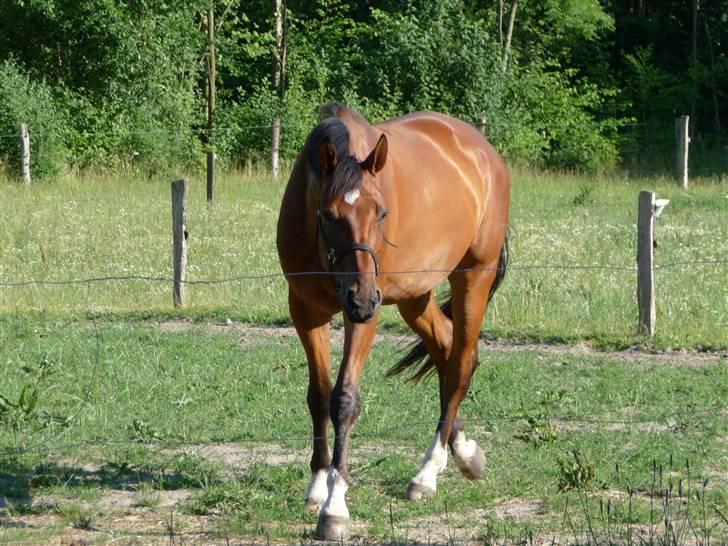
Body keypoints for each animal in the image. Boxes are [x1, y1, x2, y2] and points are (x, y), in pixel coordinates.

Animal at [276, 103, 510, 540]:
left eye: (381, 212)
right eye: (329, 214)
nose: (362, 297)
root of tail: (485, 151)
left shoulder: (364, 318)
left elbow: (344, 399)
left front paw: (335, 505)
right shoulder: (305, 310)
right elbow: (319, 395)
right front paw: (316, 485)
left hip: (473, 276)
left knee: (461, 363)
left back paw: (427, 473)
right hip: (415, 297)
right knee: (446, 349)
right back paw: (463, 452)